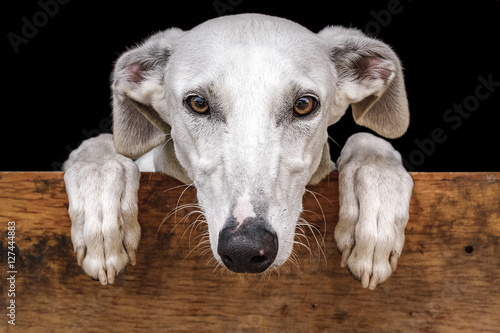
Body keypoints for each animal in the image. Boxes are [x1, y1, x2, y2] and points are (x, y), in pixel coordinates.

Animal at [63, 13, 414, 288]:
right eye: (198, 103)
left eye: (304, 104)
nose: (246, 249)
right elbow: (100, 149)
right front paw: (101, 206)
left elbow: (369, 141)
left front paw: (375, 211)